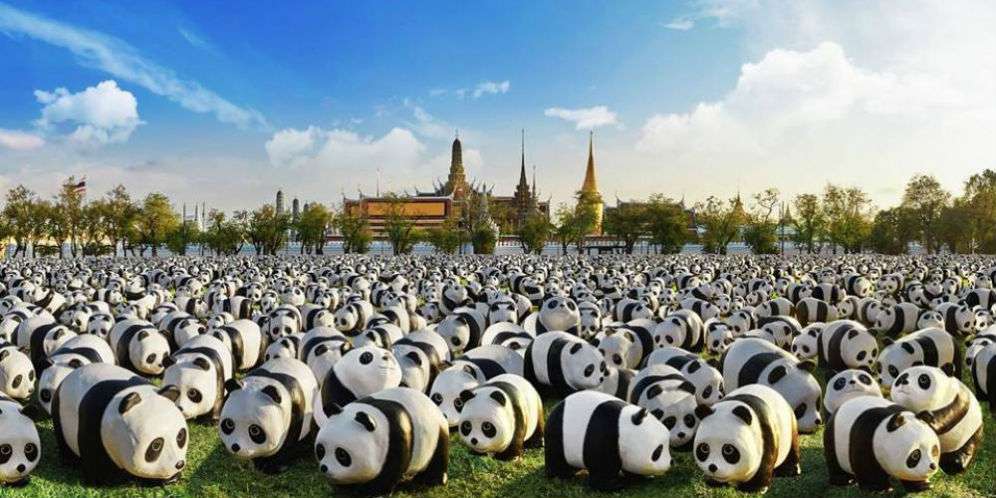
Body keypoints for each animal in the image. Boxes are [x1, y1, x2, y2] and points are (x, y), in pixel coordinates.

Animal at [52, 363, 187, 484]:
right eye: (156, 445)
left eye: (180, 436)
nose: (179, 463)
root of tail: (69, 376)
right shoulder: (94, 422)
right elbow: (97, 464)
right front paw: (116, 479)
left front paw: (170, 478)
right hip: (59, 413)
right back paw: (71, 462)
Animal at [315, 387, 449, 495]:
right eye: (321, 450)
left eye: (342, 454)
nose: (324, 468)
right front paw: (345, 488)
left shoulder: (396, 436)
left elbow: (390, 470)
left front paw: (369, 491)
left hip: (435, 433)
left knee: (438, 455)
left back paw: (431, 480)